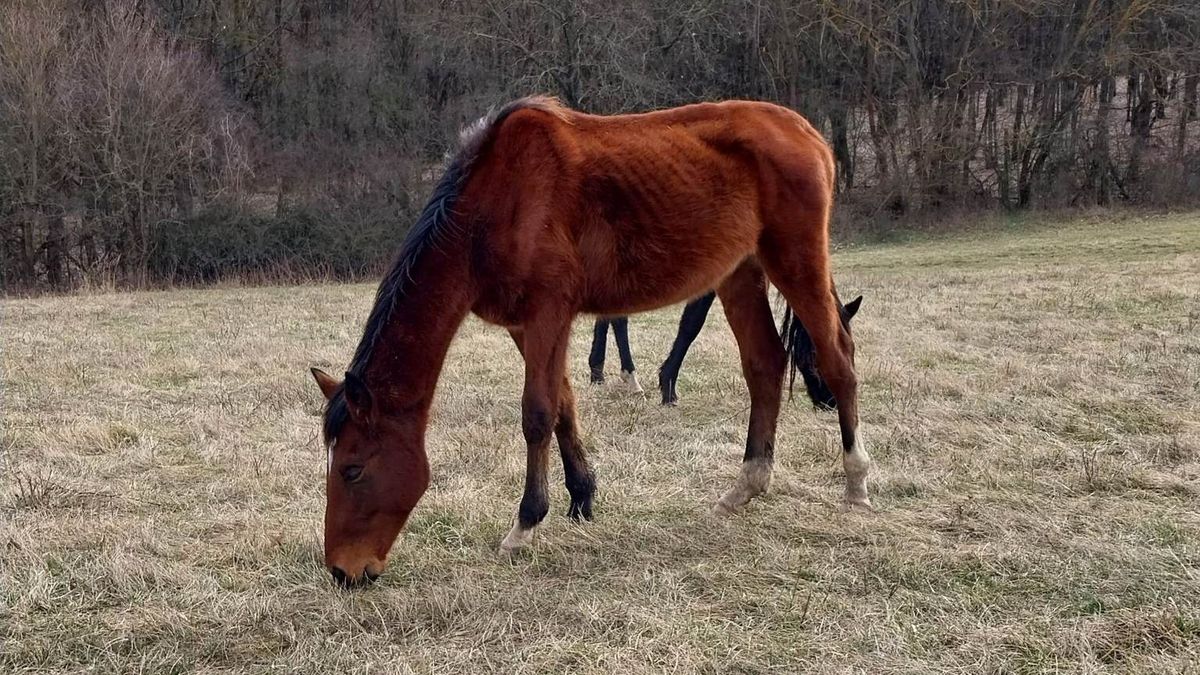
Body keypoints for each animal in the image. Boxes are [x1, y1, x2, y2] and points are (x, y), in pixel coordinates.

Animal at [309, 94, 873, 583]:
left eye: (353, 470)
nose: (342, 571)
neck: (497, 203)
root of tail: (808, 133)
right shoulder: (526, 325)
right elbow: (563, 403)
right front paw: (582, 496)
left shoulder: (548, 314)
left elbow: (537, 414)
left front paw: (525, 524)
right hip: (741, 273)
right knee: (765, 364)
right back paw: (746, 485)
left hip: (795, 262)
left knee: (838, 359)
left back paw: (856, 483)